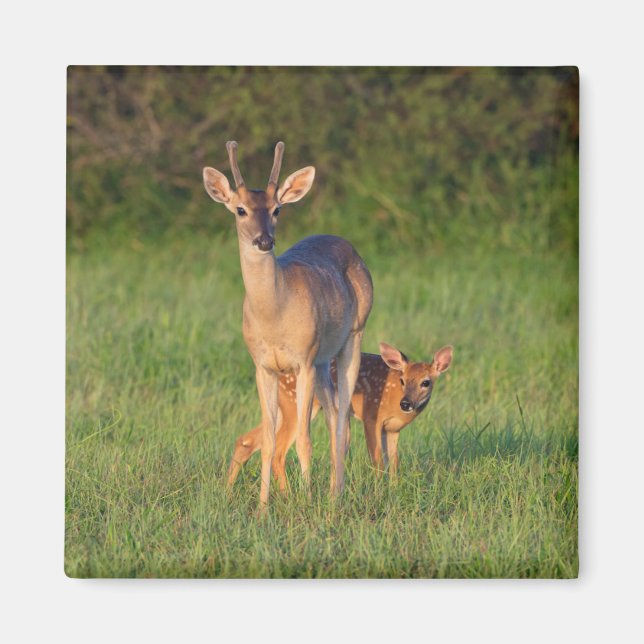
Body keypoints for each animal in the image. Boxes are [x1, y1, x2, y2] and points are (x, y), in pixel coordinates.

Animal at [202, 141, 373, 510]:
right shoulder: (262, 366)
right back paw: (333, 491)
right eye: (240, 210)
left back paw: (335, 496)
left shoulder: (303, 360)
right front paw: (264, 507)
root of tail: (348, 245)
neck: (274, 316)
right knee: (333, 414)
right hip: (323, 360)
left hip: (352, 335)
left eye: (277, 209)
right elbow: (268, 440)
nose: (264, 241)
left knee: (340, 418)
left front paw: (306, 502)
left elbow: (305, 441)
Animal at [227, 343, 453, 489]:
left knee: (247, 440)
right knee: (278, 451)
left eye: (426, 382)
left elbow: (394, 462)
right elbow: (377, 460)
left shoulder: (393, 429)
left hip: (284, 408)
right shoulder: (371, 416)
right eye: (403, 380)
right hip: (296, 405)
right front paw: (380, 490)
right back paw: (287, 496)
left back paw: (227, 491)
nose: (406, 403)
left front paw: (394, 488)